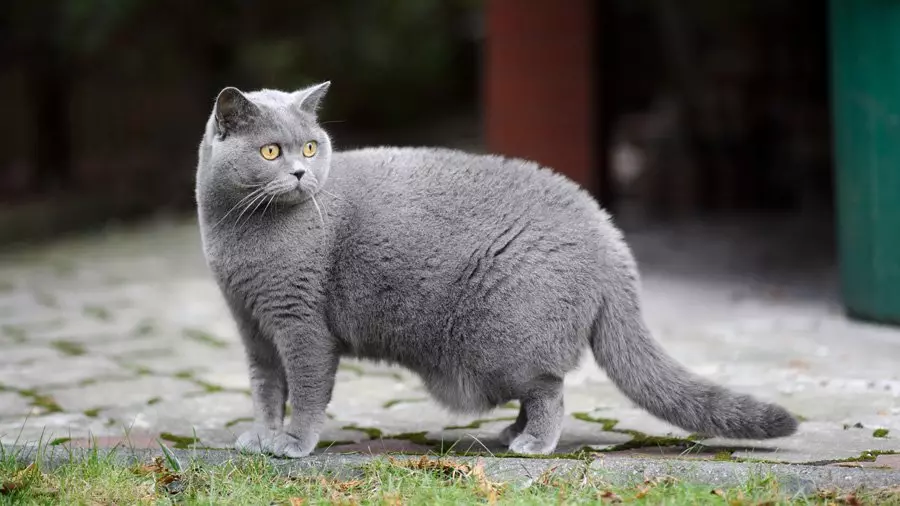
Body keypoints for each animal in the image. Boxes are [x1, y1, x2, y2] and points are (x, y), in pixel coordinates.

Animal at [195, 82, 796, 454]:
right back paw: (512, 434)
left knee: (550, 390)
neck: (238, 235)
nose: (301, 174)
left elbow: (307, 389)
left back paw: (532, 445)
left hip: (501, 339)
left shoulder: (301, 326)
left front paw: (293, 445)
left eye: (311, 147)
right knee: (539, 390)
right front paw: (260, 436)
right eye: (271, 152)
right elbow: (266, 389)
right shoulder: (252, 326)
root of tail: (611, 240)